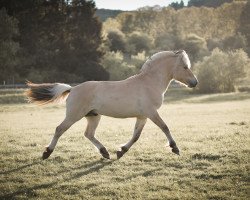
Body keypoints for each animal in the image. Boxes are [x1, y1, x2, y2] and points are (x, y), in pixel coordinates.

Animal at [25, 49, 197, 159]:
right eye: (185, 67)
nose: (194, 82)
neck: (149, 83)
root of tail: (72, 88)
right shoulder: (151, 113)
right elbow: (164, 127)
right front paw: (175, 148)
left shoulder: (142, 116)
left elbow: (136, 136)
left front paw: (121, 151)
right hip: (74, 115)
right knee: (59, 129)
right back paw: (47, 153)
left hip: (93, 116)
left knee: (88, 134)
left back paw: (105, 152)